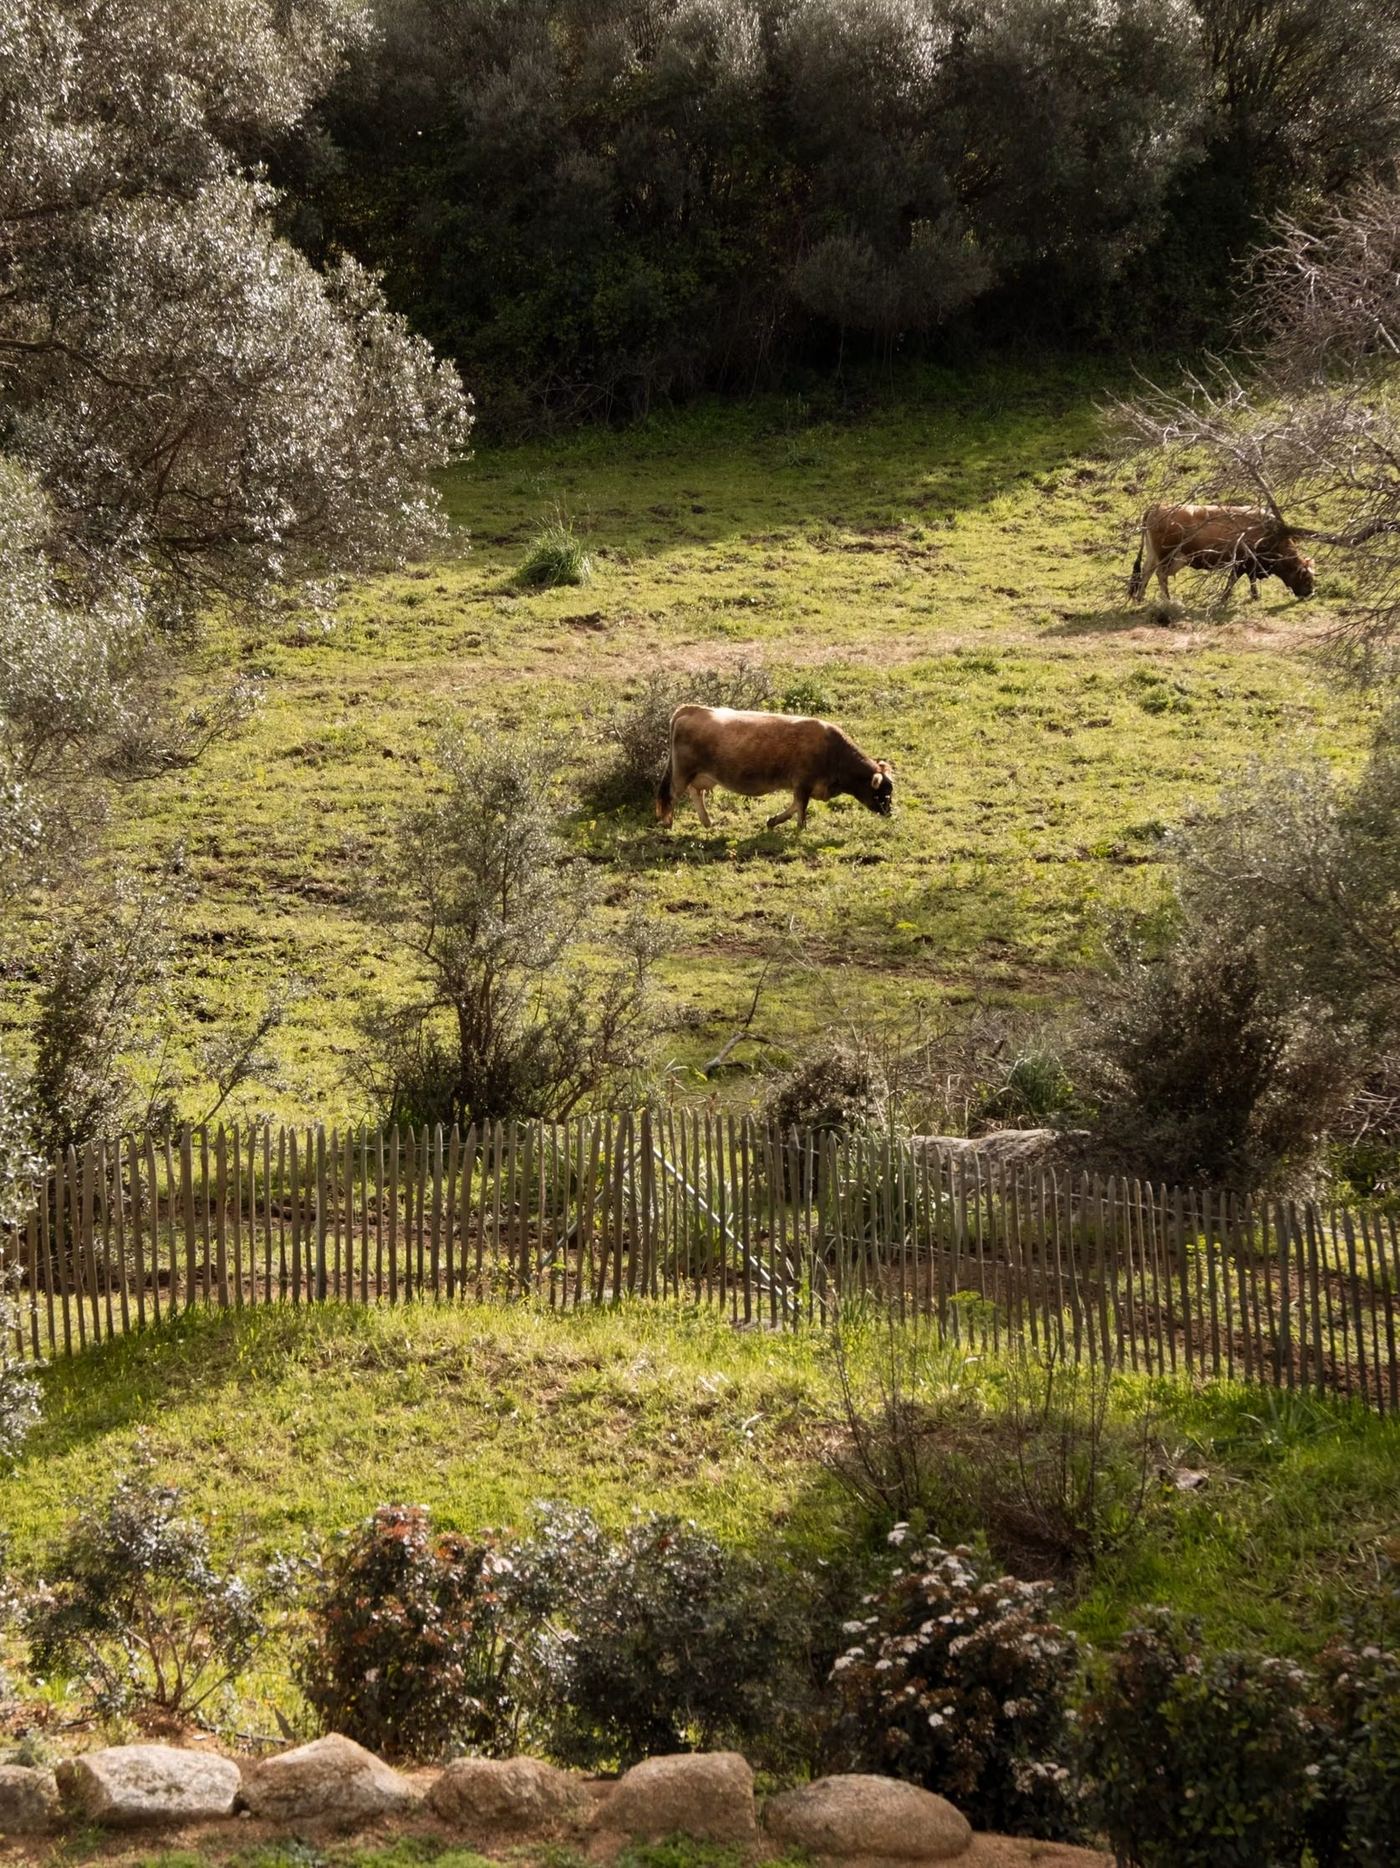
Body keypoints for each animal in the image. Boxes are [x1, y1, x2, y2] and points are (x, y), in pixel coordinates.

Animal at [655, 705, 894, 832]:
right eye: (882, 793)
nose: (889, 812)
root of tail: (692, 709)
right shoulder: (803, 783)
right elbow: (801, 807)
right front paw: (801, 828)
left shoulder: (803, 786)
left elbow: (794, 806)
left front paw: (773, 821)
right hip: (682, 774)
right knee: (671, 795)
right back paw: (668, 822)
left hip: (700, 776)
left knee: (696, 793)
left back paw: (707, 822)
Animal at [1128, 504, 1316, 605]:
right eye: (1307, 578)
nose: (1310, 593)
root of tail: (1157, 506)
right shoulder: (1242, 562)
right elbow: (1234, 580)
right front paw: (1224, 599)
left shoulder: (1249, 565)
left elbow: (1250, 580)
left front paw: (1255, 597)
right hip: (1167, 556)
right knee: (1160, 575)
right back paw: (1167, 599)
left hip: (1154, 555)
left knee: (1146, 572)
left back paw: (1140, 598)